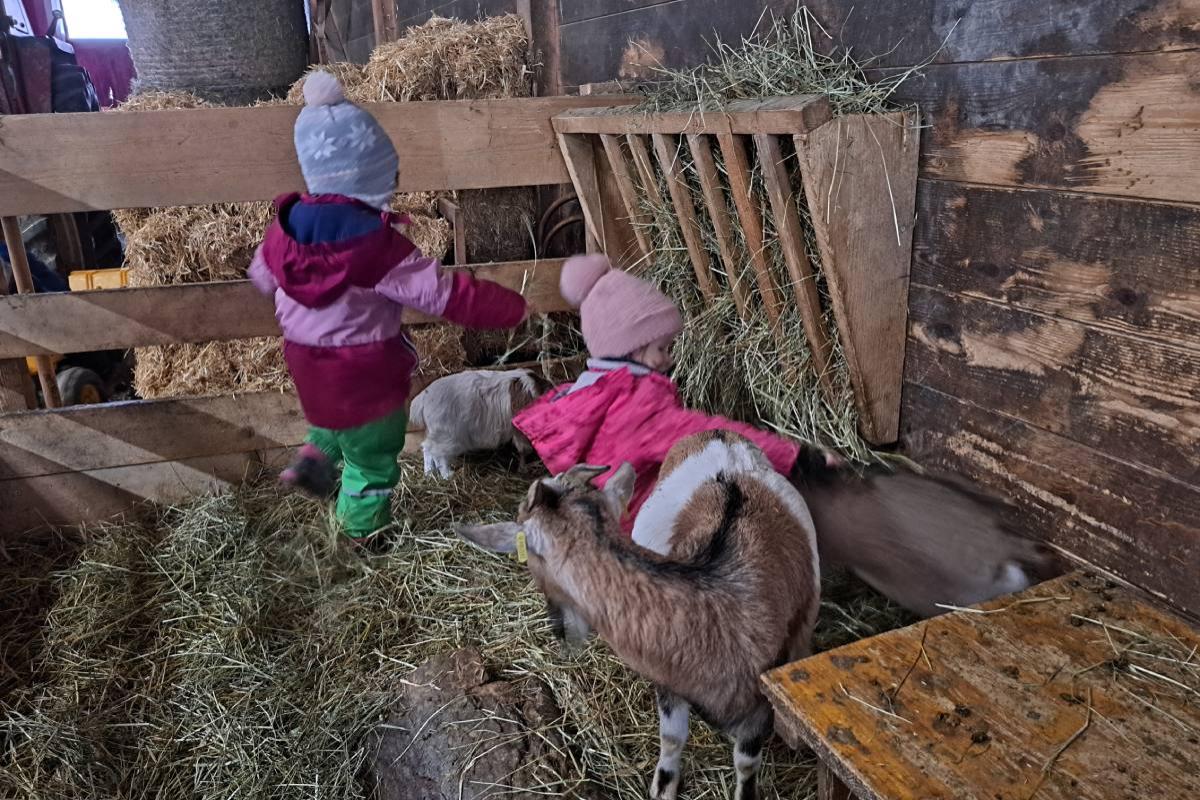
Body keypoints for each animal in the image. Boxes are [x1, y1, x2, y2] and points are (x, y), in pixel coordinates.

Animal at [409, 369, 550, 478]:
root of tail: (422, 399)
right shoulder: (520, 432)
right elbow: (523, 450)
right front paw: (523, 469)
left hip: (436, 434)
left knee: (427, 449)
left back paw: (429, 474)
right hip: (446, 437)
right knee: (438, 455)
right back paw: (447, 475)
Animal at [456, 431, 821, 800]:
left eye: (532, 565)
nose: (559, 630)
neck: (716, 607)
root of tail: (720, 435)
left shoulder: (756, 711)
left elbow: (746, 766)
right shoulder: (669, 682)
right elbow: (671, 738)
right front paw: (663, 786)